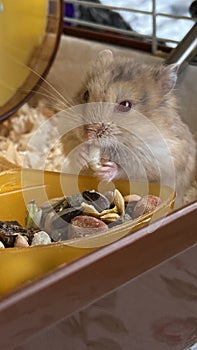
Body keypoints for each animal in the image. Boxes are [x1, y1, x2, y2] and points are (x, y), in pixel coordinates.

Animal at [60, 50, 196, 208]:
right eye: (86, 94)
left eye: (126, 105)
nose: (88, 135)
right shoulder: (67, 133)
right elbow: (71, 147)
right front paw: (82, 154)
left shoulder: (157, 161)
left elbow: (129, 169)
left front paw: (106, 171)